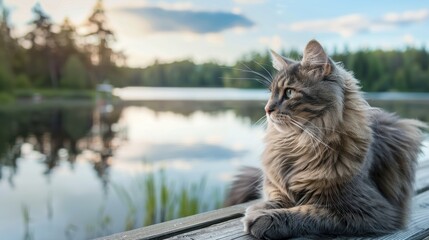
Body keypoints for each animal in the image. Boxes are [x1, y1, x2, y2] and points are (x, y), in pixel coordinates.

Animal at [226, 39, 426, 238]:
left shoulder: (371, 210)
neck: (301, 142)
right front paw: (261, 208)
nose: (267, 109)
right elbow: (278, 198)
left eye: (289, 92)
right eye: (270, 93)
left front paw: (265, 219)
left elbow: (310, 212)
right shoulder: (278, 185)